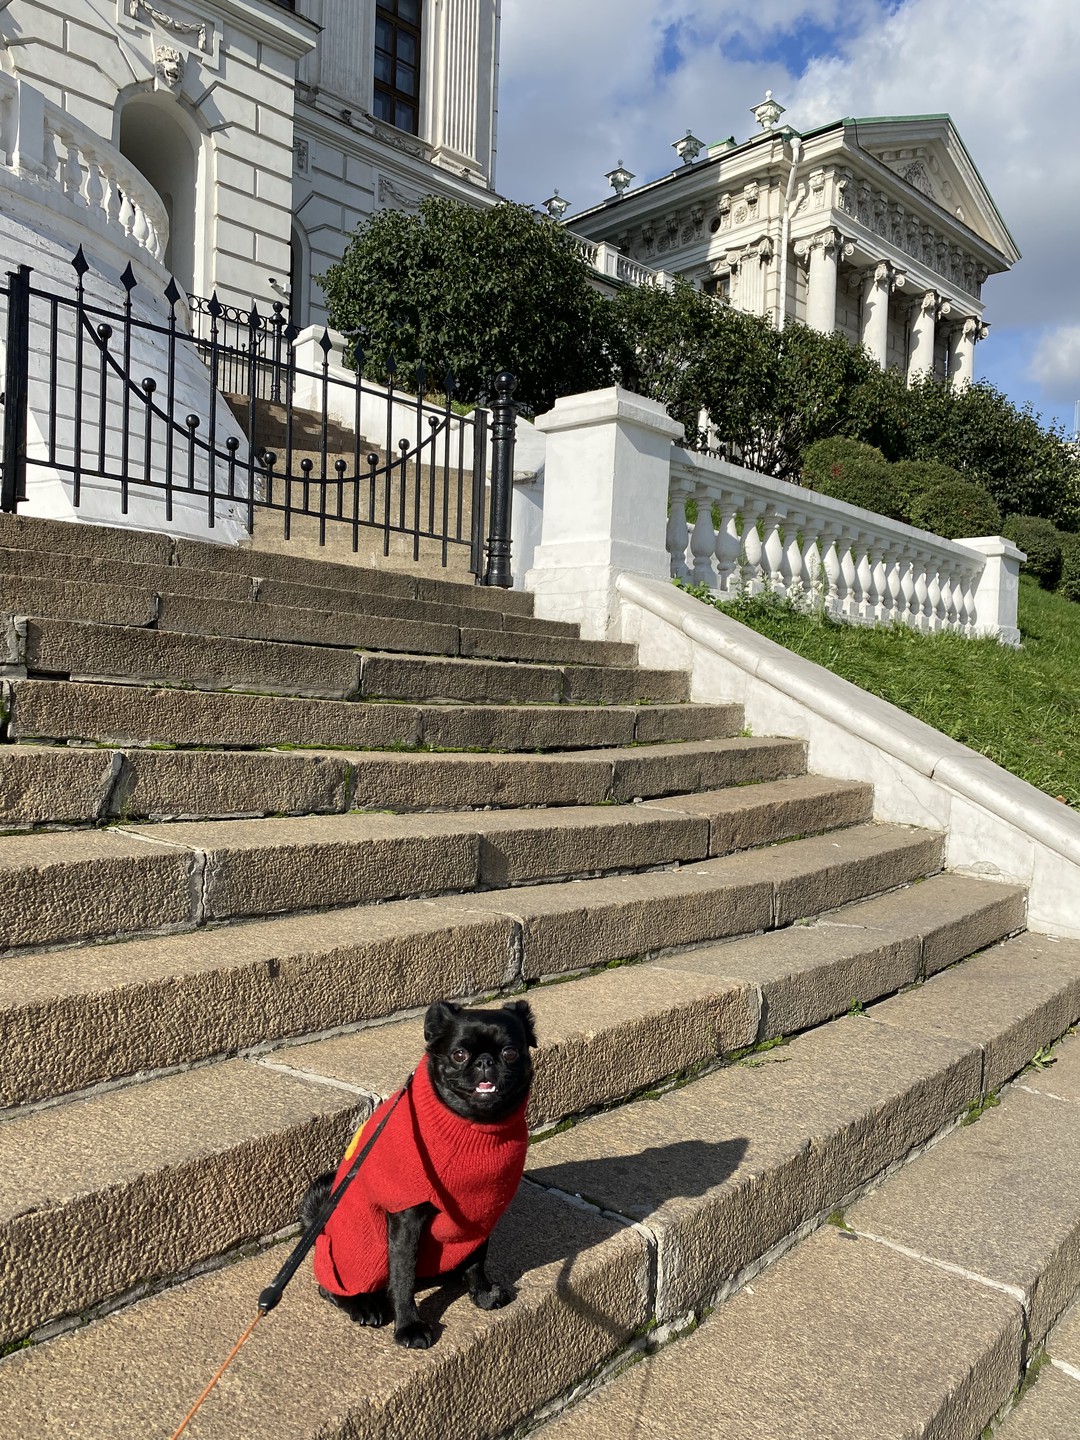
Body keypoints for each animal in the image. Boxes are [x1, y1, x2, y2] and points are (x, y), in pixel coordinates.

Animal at [300, 1002, 538, 1347]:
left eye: (509, 1052)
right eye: (458, 1055)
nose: (485, 1061)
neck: (474, 1126)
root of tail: (319, 1229)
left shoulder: (481, 1214)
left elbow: (478, 1257)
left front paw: (482, 1293)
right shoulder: (407, 1216)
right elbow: (403, 1275)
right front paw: (409, 1326)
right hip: (368, 1247)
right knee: (331, 1285)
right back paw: (363, 1305)